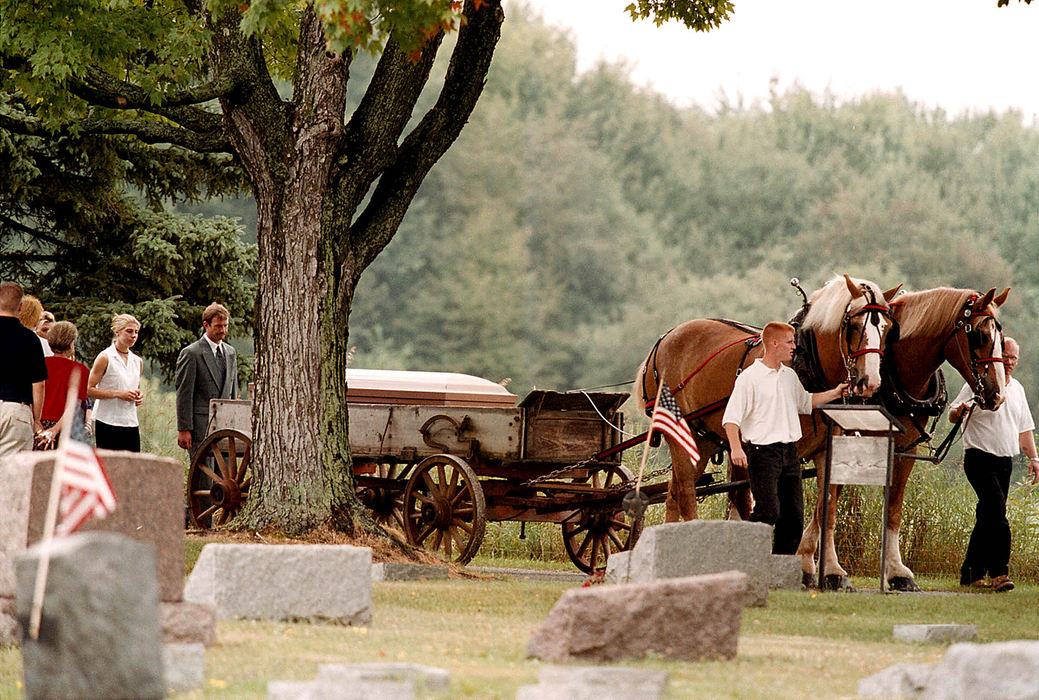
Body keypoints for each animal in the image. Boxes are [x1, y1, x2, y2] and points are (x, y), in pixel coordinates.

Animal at [631, 276, 901, 521]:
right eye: (854, 326)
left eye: (887, 329)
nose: (869, 382)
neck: (804, 361)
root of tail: (663, 340)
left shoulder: (825, 453)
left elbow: (826, 513)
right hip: (681, 433)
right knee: (686, 495)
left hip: (701, 439)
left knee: (673, 495)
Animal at [793, 286, 1005, 585]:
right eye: (979, 335)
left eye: (1001, 337)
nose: (997, 394)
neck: (893, 374)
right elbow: (829, 502)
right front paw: (819, 564)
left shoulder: (904, 450)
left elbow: (892, 508)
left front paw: (896, 571)